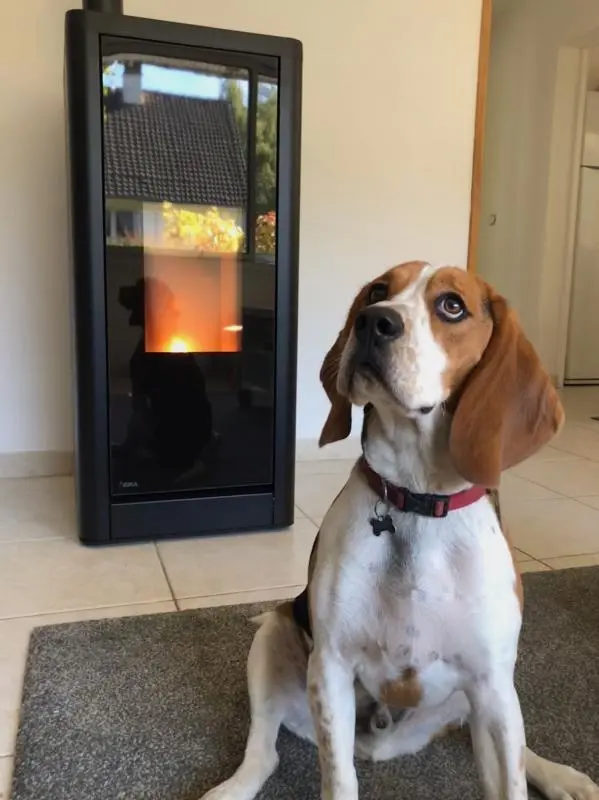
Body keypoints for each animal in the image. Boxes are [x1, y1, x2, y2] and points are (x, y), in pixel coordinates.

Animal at [202, 264, 599, 800]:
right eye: (377, 290)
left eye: (452, 305)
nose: (374, 321)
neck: (417, 501)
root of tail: (382, 743)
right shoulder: (330, 667)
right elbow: (339, 778)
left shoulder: (492, 683)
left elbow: (511, 776)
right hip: (273, 640)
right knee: (265, 752)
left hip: (484, 700)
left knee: (516, 745)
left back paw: (561, 776)